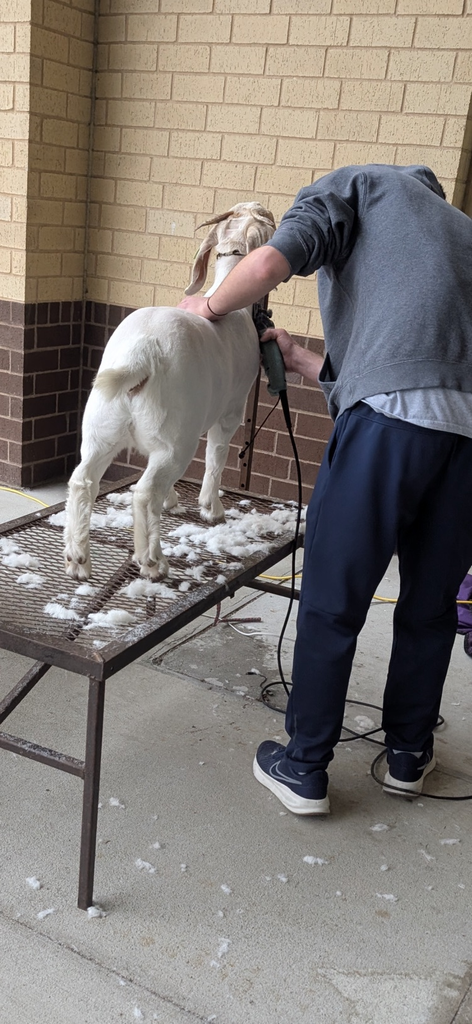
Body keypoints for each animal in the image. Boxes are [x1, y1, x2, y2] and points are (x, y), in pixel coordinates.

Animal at [63, 201, 276, 581]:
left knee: (83, 481)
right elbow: (216, 458)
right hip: (177, 439)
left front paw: (173, 500)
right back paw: (153, 562)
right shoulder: (230, 412)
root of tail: (142, 351)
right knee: (145, 492)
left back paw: (77, 559)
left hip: (102, 427)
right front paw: (211, 508)